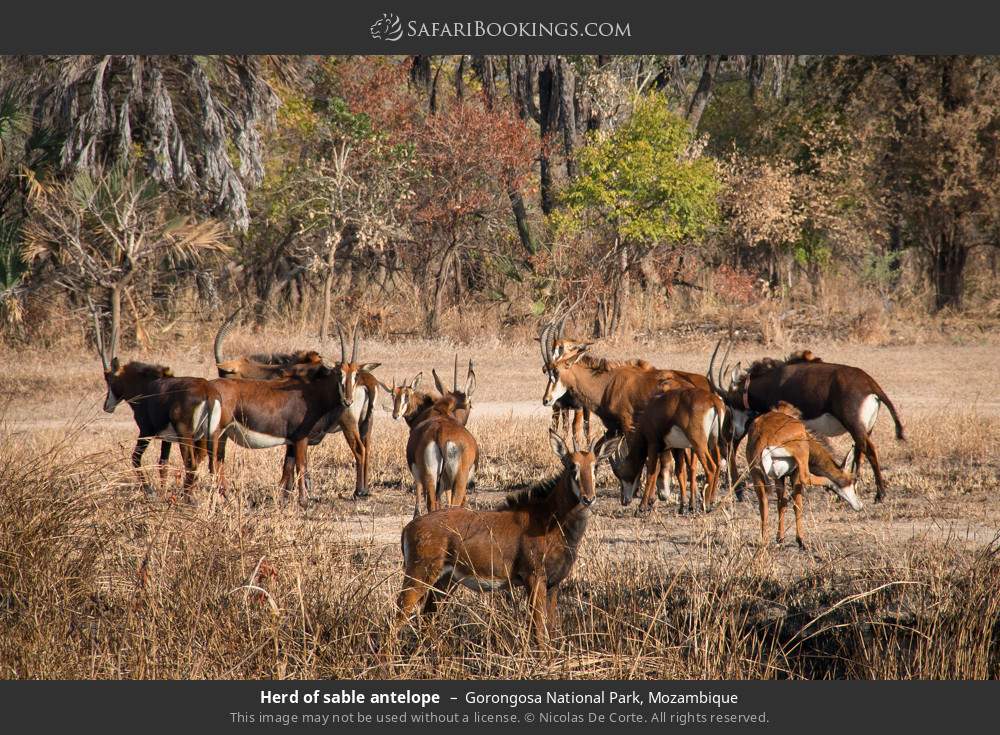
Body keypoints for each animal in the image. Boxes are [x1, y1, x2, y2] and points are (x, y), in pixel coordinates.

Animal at [91, 305, 221, 497]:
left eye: (109, 379)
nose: (107, 406)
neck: (146, 385)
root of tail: (207, 392)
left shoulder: (146, 431)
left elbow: (135, 458)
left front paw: (149, 490)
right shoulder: (166, 438)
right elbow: (163, 464)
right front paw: (161, 492)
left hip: (185, 435)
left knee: (191, 464)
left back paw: (186, 497)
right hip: (208, 435)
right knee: (208, 462)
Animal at [398, 430, 621, 645]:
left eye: (595, 466)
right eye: (572, 466)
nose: (588, 498)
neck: (550, 519)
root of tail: (409, 527)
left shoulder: (553, 584)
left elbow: (551, 629)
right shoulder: (534, 578)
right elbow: (539, 632)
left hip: (445, 580)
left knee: (427, 617)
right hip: (419, 575)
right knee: (399, 616)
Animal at [707, 340, 904, 502]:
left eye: (730, 403)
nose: (731, 434)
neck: (771, 381)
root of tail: (871, 385)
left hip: (854, 425)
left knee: (869, 450)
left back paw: (880, 495)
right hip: (865, 428)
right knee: (860, 452)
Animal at [745, 402, 861, 548]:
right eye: (854, 481)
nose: (860, 505)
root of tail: (764, 437)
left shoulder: (779, 477)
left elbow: (781, 504)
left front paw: (780, 538)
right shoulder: (794, 473)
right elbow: (797, 505)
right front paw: (800, 540)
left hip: (756, 474)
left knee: (763, 505)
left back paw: (764, 541)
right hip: (801, 456)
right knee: (806, 478)